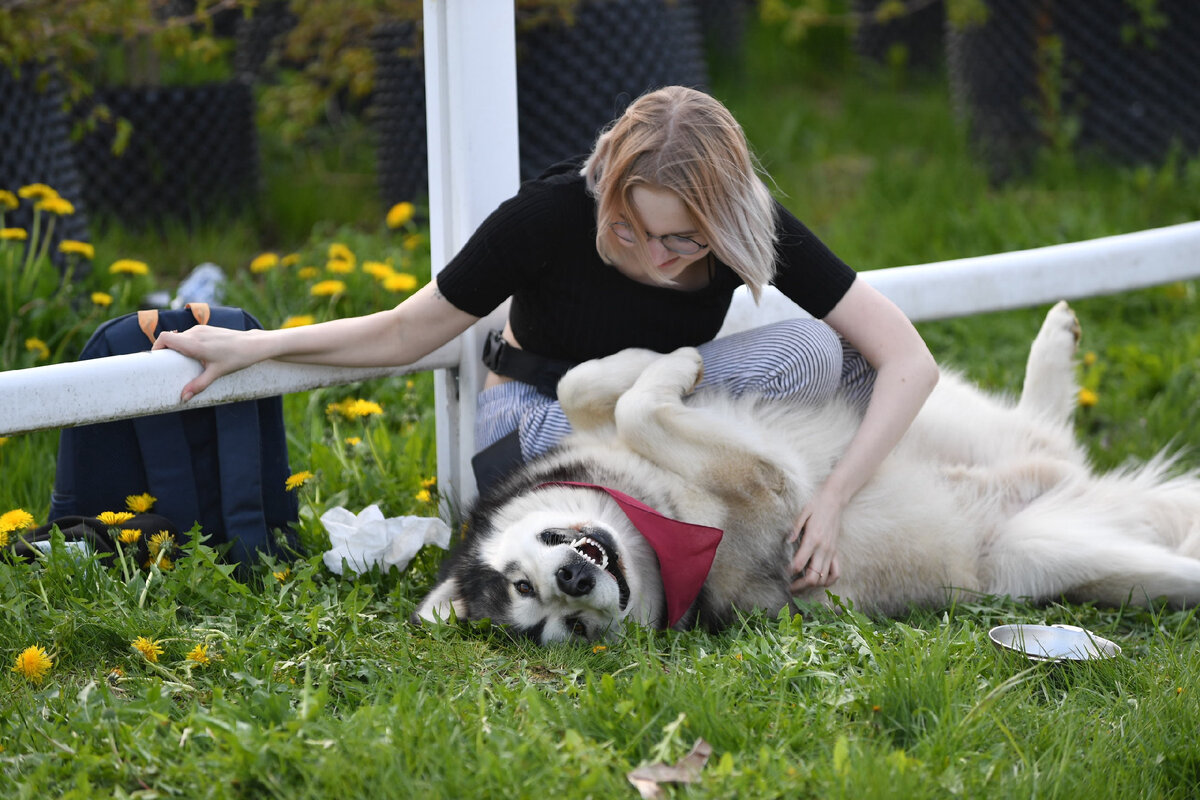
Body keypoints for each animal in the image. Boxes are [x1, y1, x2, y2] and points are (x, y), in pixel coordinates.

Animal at [415, 302, 1200, 642]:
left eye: (526, 579)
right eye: (567, 626)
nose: (574, 579)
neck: (656, 515)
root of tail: (1070, 484)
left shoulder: (597, 428)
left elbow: (585, 384)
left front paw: (667, 360)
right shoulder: (776, 489)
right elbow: (639, 411)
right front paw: (667, 371)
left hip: (947, 417)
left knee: (1044, 427)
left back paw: (1055, 343)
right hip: (1053, 555)